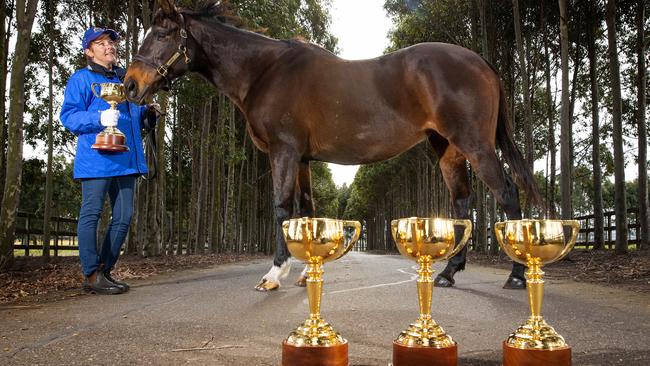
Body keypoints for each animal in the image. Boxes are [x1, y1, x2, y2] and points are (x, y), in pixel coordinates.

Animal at [124, 0, 540, 292]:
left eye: (161, 35)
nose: (130, 85)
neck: (265, 71)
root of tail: (482, 62)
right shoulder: (303, 159)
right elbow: (307, 211)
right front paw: (307, 273)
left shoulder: (284, 151)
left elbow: (282, 208)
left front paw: (274, 274)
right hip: (448, 149)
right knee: (463, 205)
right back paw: (449, 274)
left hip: (476, 145)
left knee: (507, 195)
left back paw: (518, 276)